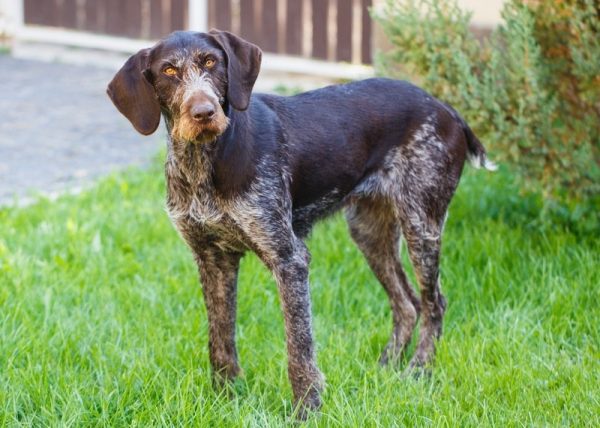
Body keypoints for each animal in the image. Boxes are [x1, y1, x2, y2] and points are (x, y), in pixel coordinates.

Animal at [108, 28, 496, 416]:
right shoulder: (212, 258)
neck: (204, 163)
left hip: (421, 223)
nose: (203, 112)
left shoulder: (288, 258)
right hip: (369, 231)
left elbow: (298, 345)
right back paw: (386, 368)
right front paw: (225, 399)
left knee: (434, 304)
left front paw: (306, 408)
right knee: (407, 303)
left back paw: (418, 370)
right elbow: (220, 339)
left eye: (210, 62)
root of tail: (445, 109)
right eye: (169, 71)